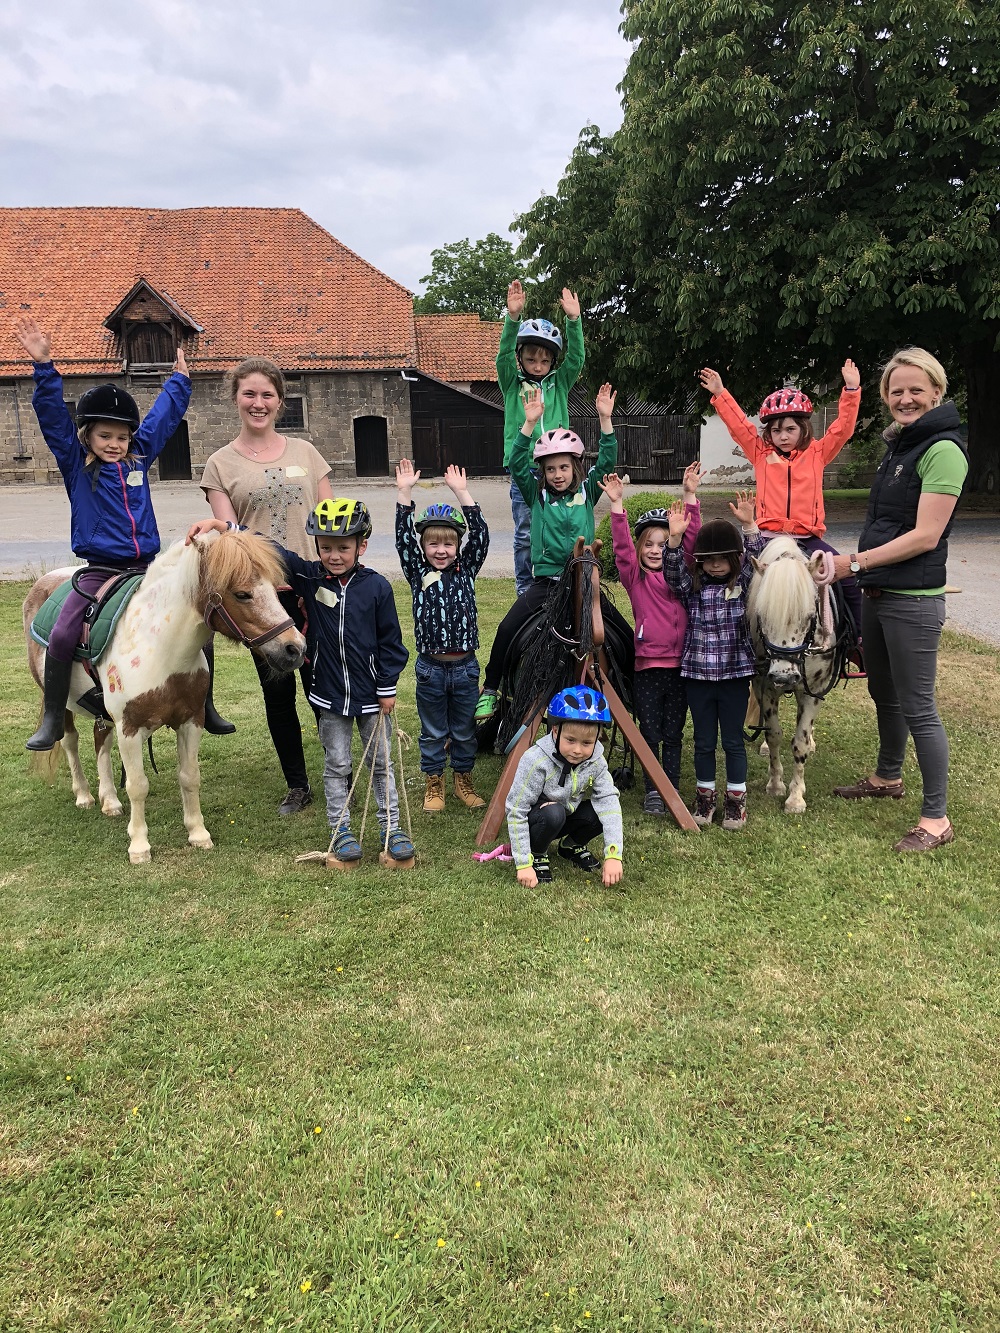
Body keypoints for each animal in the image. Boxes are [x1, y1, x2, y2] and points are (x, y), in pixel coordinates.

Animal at [23, 530, 305, 863]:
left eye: (275, 588)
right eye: (242, 594)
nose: (295, 648)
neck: (160, 649)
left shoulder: (191, 721)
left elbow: (189, 776)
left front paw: (198, 833)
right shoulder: (130, 728)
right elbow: (138, 786)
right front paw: (139, 846)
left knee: (100, 741)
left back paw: (109, 800)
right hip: (62, 702)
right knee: (70, 741)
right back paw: (84, 794)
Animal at [746, 538, 848, 810]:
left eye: (810, 616)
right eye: (762, 616)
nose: (784, 677)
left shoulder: (813, 691)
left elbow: (799, 743)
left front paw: (795, 797)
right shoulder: (765, 687)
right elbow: (774, 735)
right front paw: (775, 784)